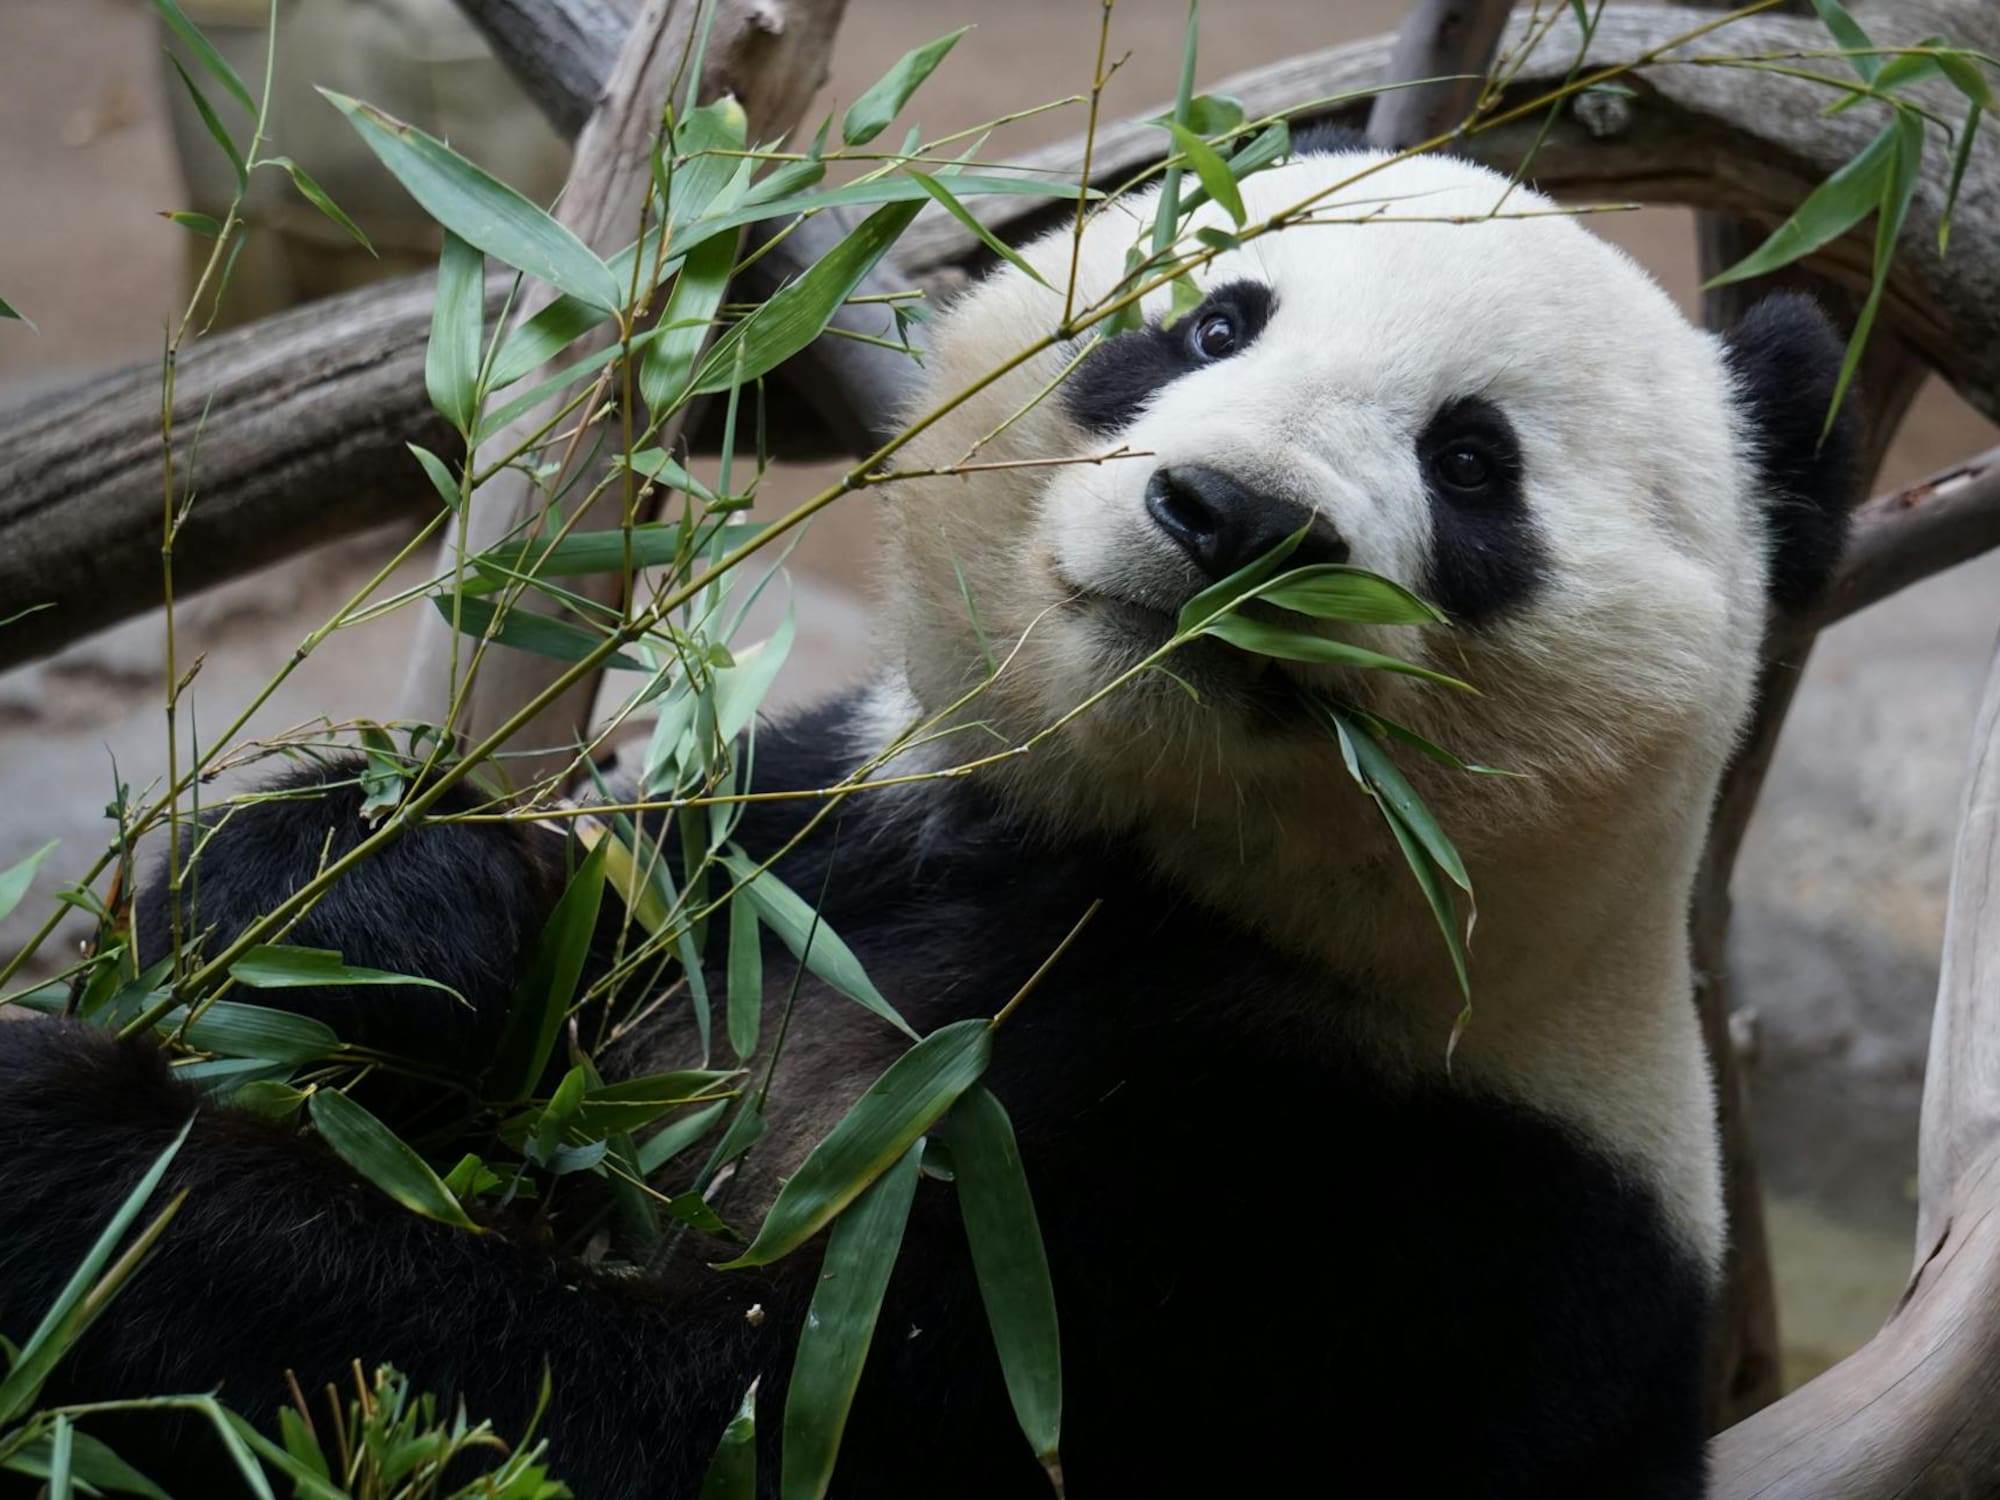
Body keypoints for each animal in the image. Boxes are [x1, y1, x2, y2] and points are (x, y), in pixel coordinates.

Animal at [0, 138, 1859, 1499]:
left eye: (1475, 463)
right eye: (1213, 320)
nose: (1229, 516)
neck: (1143, 866)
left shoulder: (1395, 1235)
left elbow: (711, 1422)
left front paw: (86, 1170)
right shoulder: (825, 840)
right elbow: (562, 914)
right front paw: (375, 910)